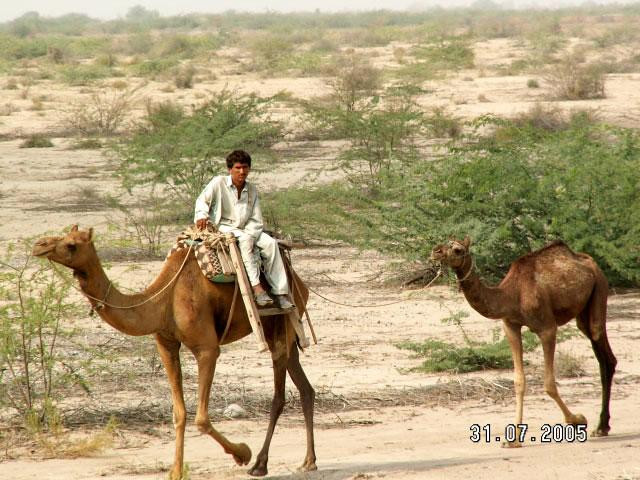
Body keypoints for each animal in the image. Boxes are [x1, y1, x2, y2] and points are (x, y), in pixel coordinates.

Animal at [32, 226, 318, 480]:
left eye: (72, 244)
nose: (39, 245)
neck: (163, 299)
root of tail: (299, 281)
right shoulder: (166, 345)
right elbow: (179, 413)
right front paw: (176, 471)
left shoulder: (207, 349)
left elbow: (201, 419)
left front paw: (242, 453)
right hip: (286, 335)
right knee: (305, 387)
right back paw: (308, 461)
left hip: (280, 324)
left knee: (278, 394)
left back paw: (260, 464)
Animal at [430, 238, 616, 444]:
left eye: (457, 249)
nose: (435, 252)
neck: (510, 295)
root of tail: (590, 262)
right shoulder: (510, 326)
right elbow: (519, 382)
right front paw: (513, 440)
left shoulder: (547, 328)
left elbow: (549, 384)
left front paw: (578, 420)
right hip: (583, 311)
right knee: (602, 353)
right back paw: (602, 426)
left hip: (600, 288)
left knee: (603, 350)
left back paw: (601, 427)